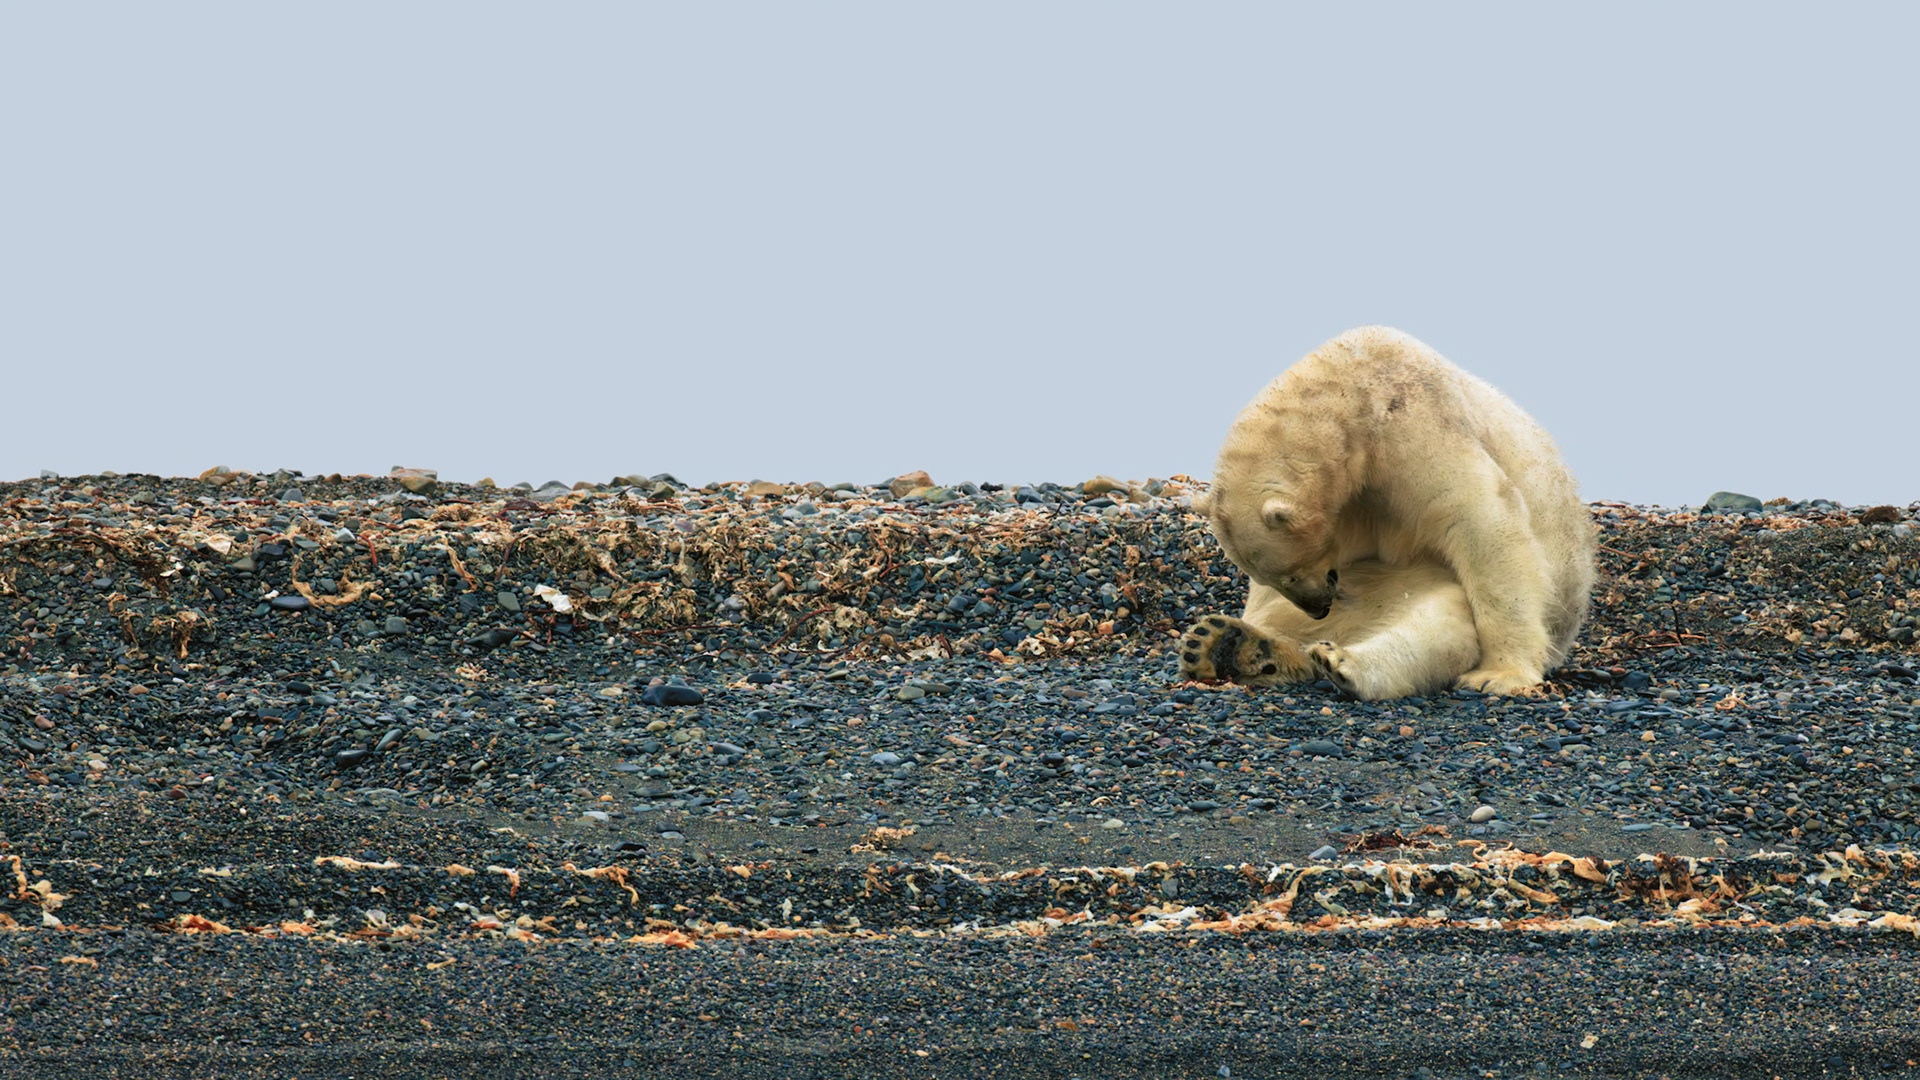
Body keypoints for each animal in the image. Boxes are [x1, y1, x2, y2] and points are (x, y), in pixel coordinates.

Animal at [1178, 325, 1595, 699]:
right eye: (1272, 577)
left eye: (1290, 572)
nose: (1320, 609)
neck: (1348, 389)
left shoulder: (1414, 424)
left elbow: (1478, 520)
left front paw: (1499, 674)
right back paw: (1228, 643)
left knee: (1442, 620)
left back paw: (1341, 662)